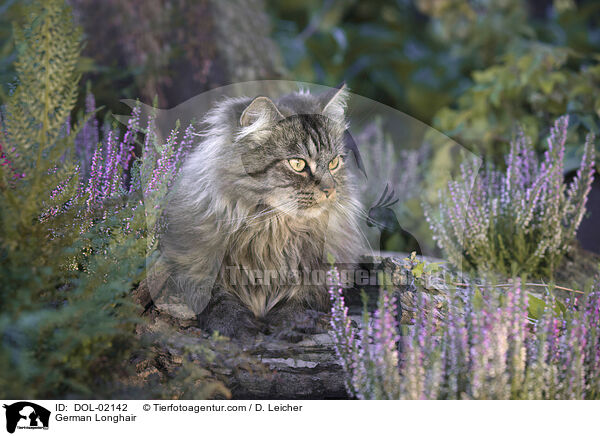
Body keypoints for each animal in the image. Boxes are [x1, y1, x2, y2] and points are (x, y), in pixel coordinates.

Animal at [159, 83, 364, 338]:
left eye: (334, 162)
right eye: (298, 164)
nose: (329, 190)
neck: (273, 232)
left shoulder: (322, 276)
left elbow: (301, 299)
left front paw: (289, 325)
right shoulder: (192, 264)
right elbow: (216, 298)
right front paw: (237, 326)